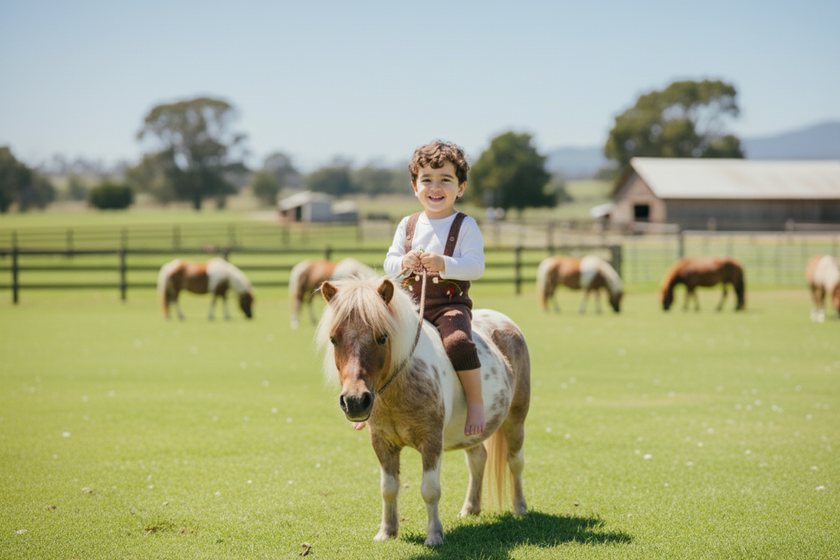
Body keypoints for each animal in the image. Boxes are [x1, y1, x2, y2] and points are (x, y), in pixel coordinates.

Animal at [315, 275, 530, 546]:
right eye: (334, 339)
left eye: (382, 337)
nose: (355, 401)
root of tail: (505, 321)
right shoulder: (382, 442)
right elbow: (388, 488)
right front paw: (387, 531)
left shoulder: (431, 441)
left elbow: (430, 490)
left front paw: (434, 535)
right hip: (472, 431)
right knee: (477, 460)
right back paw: (470, 508)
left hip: (516, 418)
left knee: (515, 461)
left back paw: (520, 508)